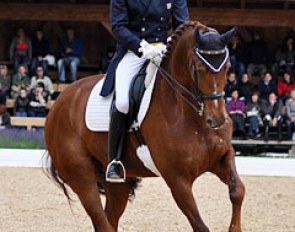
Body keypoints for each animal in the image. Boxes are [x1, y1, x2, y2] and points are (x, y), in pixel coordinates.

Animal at [45, 20, 246, 231]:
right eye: (198, 69)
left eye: (228, 67)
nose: (217, 119)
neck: (191, 115)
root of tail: (59, 101)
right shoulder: (178, 180)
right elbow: (200, 225)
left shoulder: (222, 158)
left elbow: (237, 190)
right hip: (81, 176)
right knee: (99, 216)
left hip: (117, 184)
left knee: (110, 218)